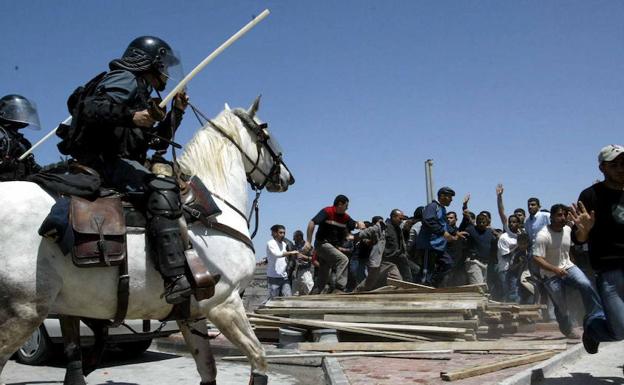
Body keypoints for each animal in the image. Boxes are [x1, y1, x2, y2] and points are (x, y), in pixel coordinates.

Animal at [0, 98, 294, 384]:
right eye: (265, 132)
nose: (287, 177)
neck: (213, 208)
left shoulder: (191, 314)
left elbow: (207, 369)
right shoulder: (225, 304)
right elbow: (258, 358)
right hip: (24, 311)